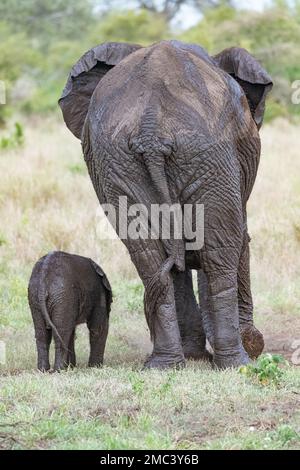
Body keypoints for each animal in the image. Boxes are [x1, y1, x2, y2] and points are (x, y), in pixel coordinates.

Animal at [58, 40, 272, 370]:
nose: (255, 341)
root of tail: (150, 126)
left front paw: (195, 354)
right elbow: (236, 239)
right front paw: (245, 346)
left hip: (120, 164)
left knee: (148, 256)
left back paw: (164, 364)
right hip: (208, 156)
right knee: (220, 253)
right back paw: (237, 363)